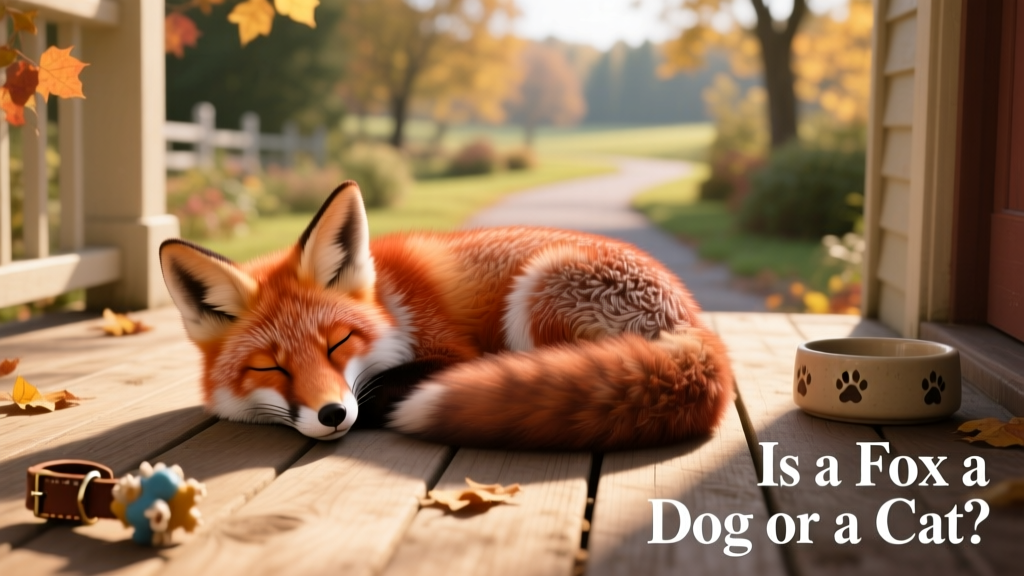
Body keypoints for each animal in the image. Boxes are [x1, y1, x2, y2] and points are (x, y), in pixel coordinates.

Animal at [159, 181, 734, 451]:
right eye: (269, 367)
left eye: (337, 343)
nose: (332, 414)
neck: (390, 299)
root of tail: (695, 325)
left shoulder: (453, 350)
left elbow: (397, 380)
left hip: (535, 292)